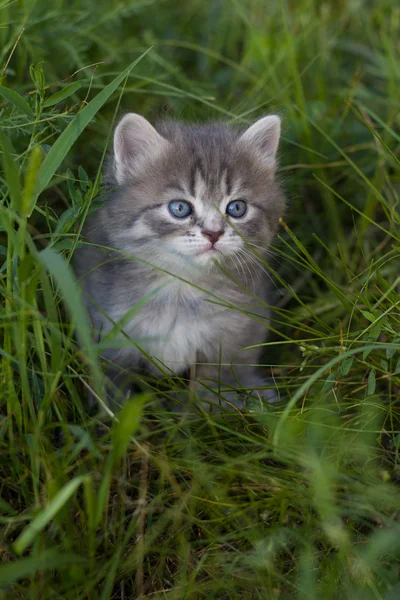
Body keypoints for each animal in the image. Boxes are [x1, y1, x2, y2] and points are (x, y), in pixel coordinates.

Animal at [73, 112, 286, 408]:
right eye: (180, 208)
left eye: (237, 208)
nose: (213, 233)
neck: (181, 290)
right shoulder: (107, 331)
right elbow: (115, 387)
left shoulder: (237, 330)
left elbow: (215, 381)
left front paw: (207, 409)